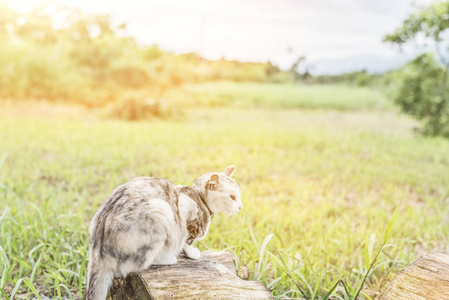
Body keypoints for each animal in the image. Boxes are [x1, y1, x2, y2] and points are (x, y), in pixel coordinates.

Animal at [86, 165, 243, 300]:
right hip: (161, 210)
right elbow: (188, 241)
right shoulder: (187, 217)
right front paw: (192, 253)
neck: (199, 198)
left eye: (239, 196)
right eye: (232, 197)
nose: (241, 207)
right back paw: (168, 258)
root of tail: (99, 248)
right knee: (133, 266)